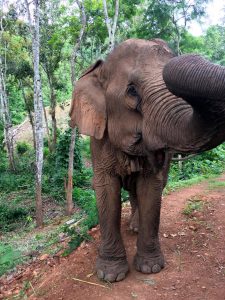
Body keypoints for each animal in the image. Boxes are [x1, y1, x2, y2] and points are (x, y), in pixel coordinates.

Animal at [69, 38, 225, 282]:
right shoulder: (99, 142)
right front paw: (110, 276)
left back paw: (135, 227)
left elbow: (151, 187)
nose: (195, 55)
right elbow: (106, 189)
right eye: (132, 91)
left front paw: (150, 268)